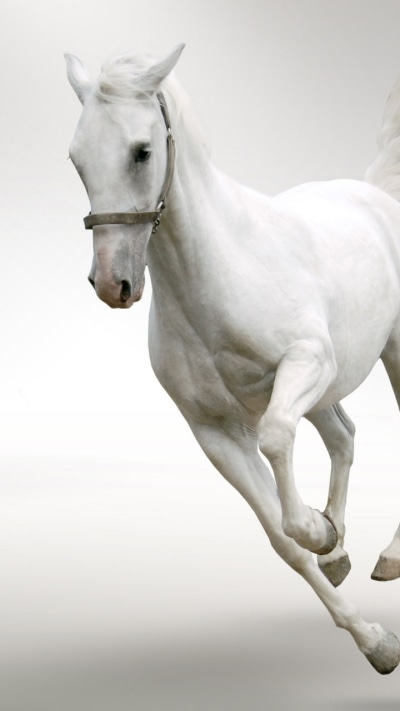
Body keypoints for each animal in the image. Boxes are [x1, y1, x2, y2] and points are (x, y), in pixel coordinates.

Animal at [65, 44, 400, 673]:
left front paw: (319, 531)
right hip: (326, 389)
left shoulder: (304, 364)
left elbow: (277, 445)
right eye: (76, 159)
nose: (112, 284)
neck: (219, 272)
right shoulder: (216, 432)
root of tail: (376, 194)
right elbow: (284, 542)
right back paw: (342, 549)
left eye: (142, 151)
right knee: (343, 436)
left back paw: (385, 555)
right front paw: (373, 639)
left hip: (382, 355)